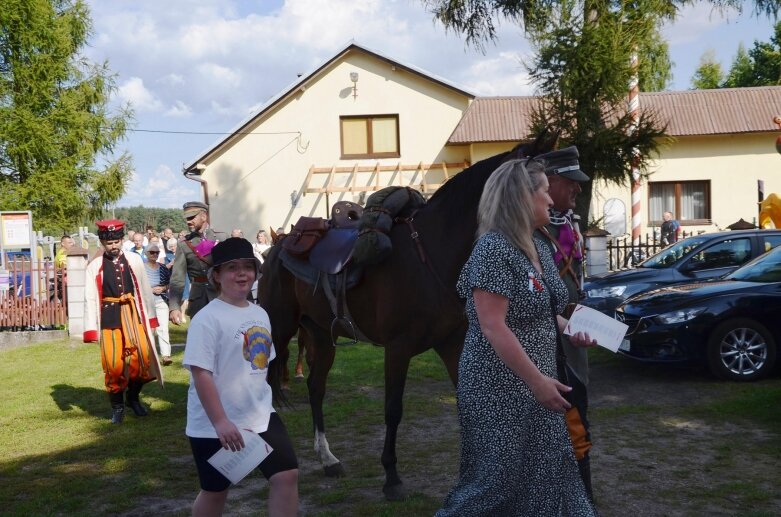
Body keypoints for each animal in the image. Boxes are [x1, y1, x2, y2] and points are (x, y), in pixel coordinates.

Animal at [258, 133, 556, 500]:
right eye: (540, 186)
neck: (430, 256)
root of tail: (280, 245)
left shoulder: (451, 344)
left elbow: (465, 405)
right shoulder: (397, 349)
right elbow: (393, 409)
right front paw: (392, 478)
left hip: (321, 336)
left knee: (316, 388)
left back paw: (328, 459)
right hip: (279, 329)